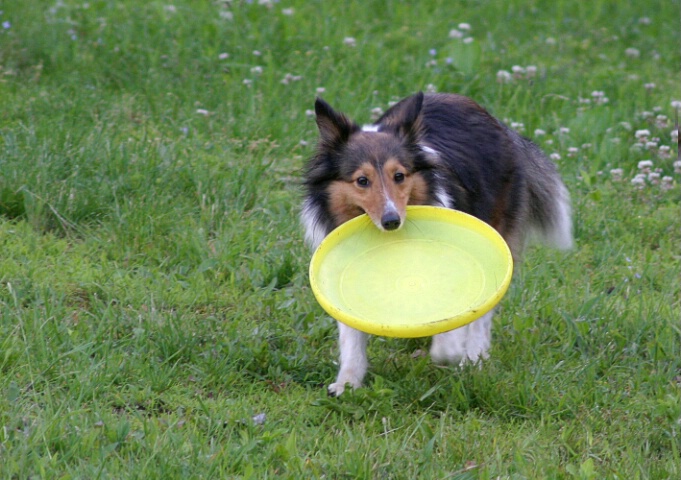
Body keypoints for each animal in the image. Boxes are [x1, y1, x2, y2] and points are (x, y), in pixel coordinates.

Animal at [300, 92, 572, 396]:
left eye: (399, 176)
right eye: (362, 180)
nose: (391, 220)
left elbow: (454, 317)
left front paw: (448, 351)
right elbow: (351, 335)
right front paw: (347, 383)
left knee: (483, 314)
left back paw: (473, 358)